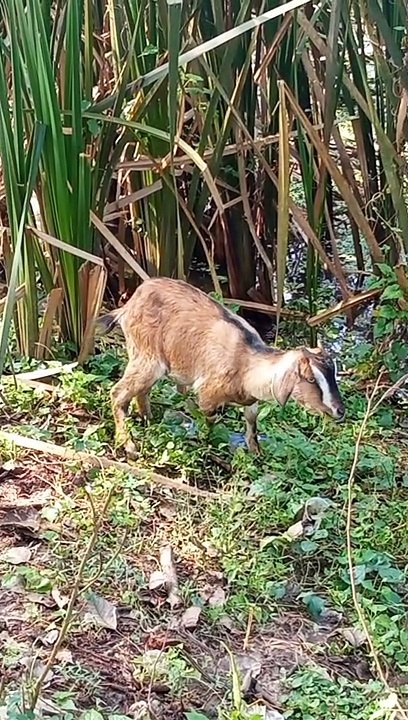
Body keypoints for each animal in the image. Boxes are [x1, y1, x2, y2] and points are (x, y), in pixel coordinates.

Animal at [97, 277, 345, 458]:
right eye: (311, 379)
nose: (339, 411)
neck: (246, 364)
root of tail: (128, 305)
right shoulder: (207, 394)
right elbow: (209, 421)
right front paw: (208, 444)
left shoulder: (251, 402)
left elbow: (252, 426)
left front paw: (257, 454)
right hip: (146, 358)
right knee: (118, 393)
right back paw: (129, 445)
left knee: (141, 392)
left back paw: (149, 420)